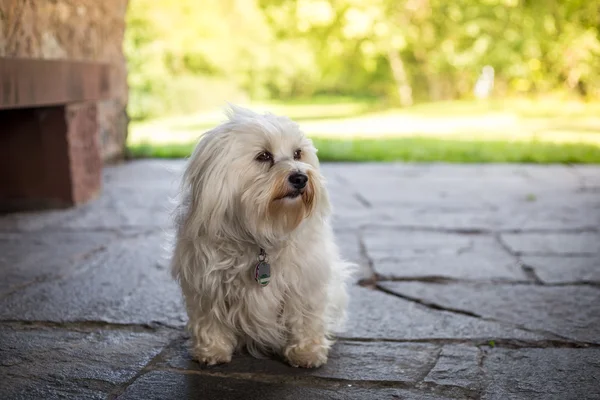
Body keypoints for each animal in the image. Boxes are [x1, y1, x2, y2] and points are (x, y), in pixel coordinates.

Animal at [169, 104, 354, 368]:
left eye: (298, 153)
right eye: (264, 156)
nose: (301, 177)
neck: (263, 231)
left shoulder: (305, 282)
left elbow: (305, 319)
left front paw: (306, 353)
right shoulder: (206, 284)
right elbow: (209, 320)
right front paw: (212, 351)